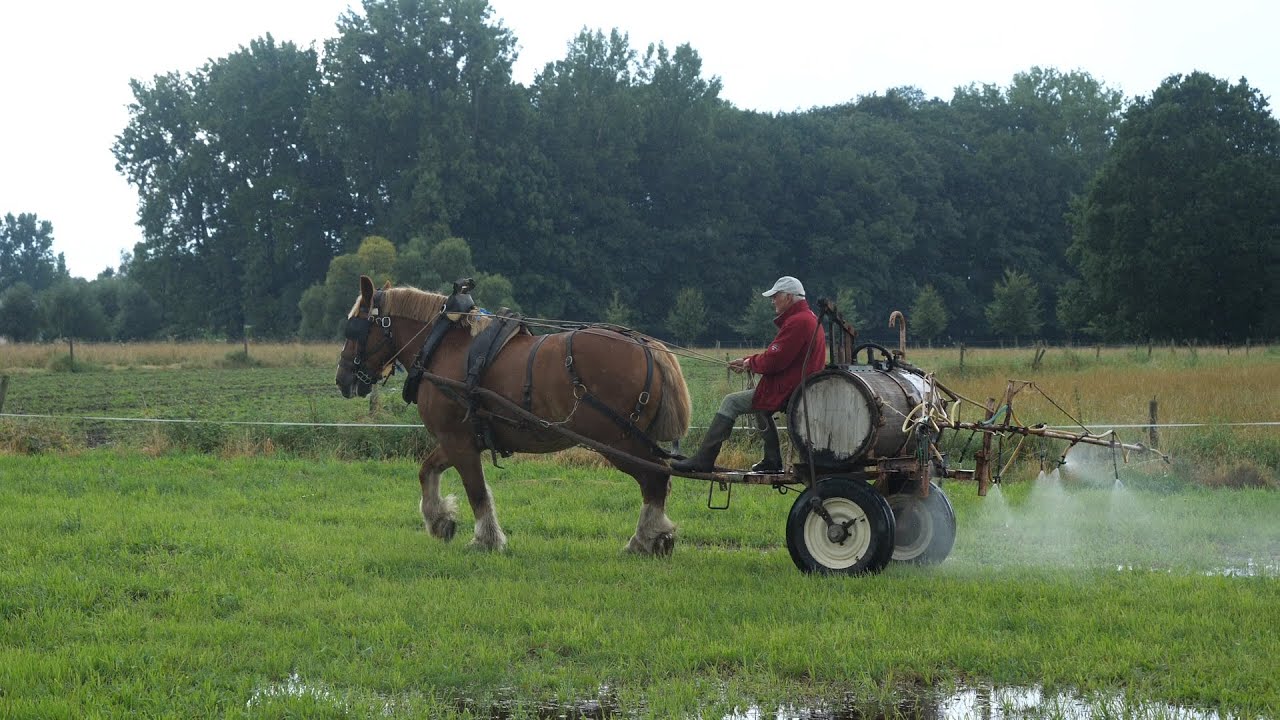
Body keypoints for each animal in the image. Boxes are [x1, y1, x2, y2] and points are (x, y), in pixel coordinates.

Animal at [335, 275, 692, 556]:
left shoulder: (458, 441)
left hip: (616, 440)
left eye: (353, 329)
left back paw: (645, 539)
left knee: (655, 479)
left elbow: (477, 492)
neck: (441, 347)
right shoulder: (459, 440)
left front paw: (486, 540)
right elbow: (427, 471)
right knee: (656, 478)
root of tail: (647, 347)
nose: (342, 379)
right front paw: (440, 521)